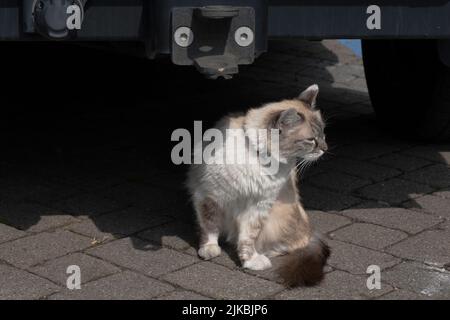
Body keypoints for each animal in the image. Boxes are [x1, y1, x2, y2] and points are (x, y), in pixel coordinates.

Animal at [186, 85, 330, 288]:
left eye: (323, 134)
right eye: (311, 140)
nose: (325, 148)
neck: (260, 157)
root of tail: (311, 231)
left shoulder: (259, 206)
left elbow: (248, 237)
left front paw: (250, 261)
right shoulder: (209, 196)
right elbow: (209, 227)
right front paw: (209, 249)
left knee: (292, 245)